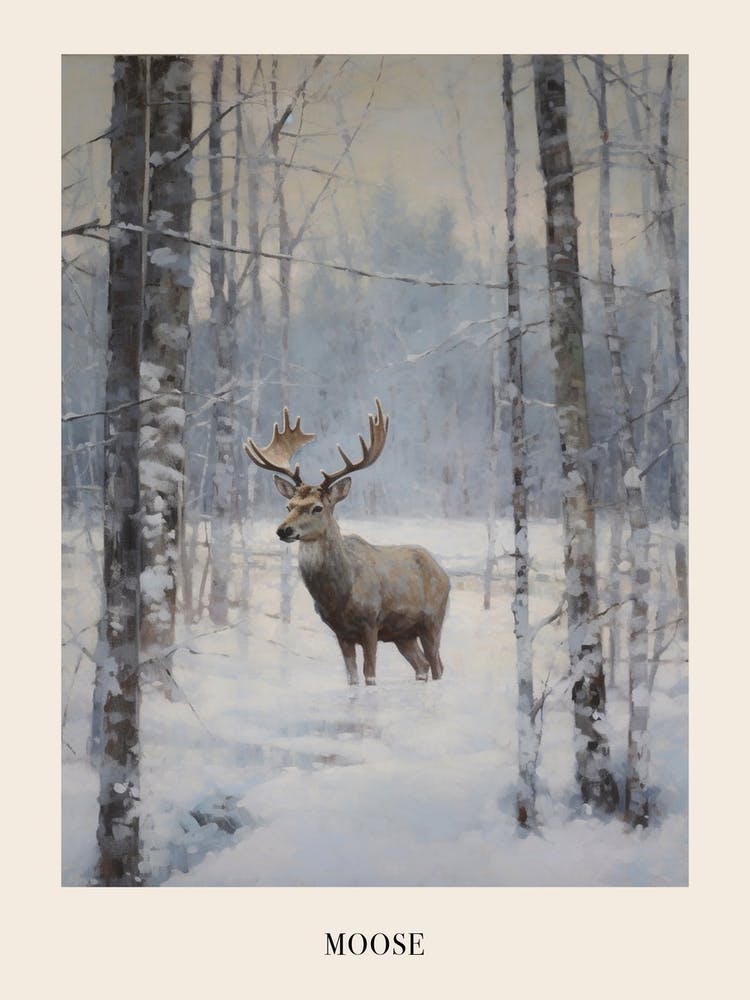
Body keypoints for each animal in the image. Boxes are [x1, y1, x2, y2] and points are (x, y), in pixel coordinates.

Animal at [244, 399, 450, 686]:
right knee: (422, 666)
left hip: (432, 620)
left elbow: (369, 675)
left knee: (438, 665)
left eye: (317, 508)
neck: (340, 595)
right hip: (402, 634)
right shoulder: (340, 632)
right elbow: (352, 677)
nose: (283, 530)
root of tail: (442, 572)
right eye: (289, 505)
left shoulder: (371, 622)